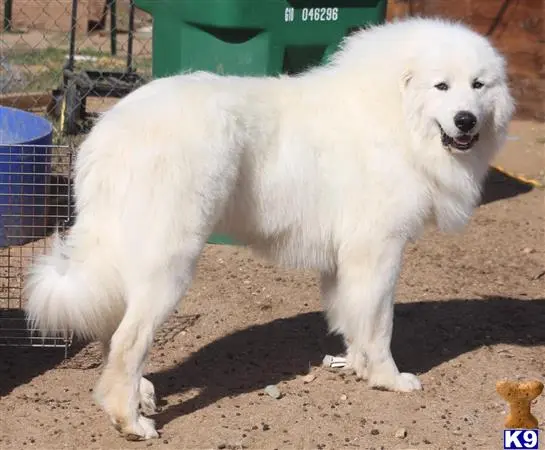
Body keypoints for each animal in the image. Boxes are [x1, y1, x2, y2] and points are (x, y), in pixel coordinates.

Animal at [23, 17, 512, 440]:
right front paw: (387, 378)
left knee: (112, 328)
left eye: (478, 85)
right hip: (170, 264)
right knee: (127, 340)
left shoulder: (347, 262)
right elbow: (380, 324)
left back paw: (140, 395)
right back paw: (130, 420)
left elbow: (353, 319)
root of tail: (110, 131)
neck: (394, 115)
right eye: (441, 86)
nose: (466, 120)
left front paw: (356, 366)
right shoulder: (378, 252)